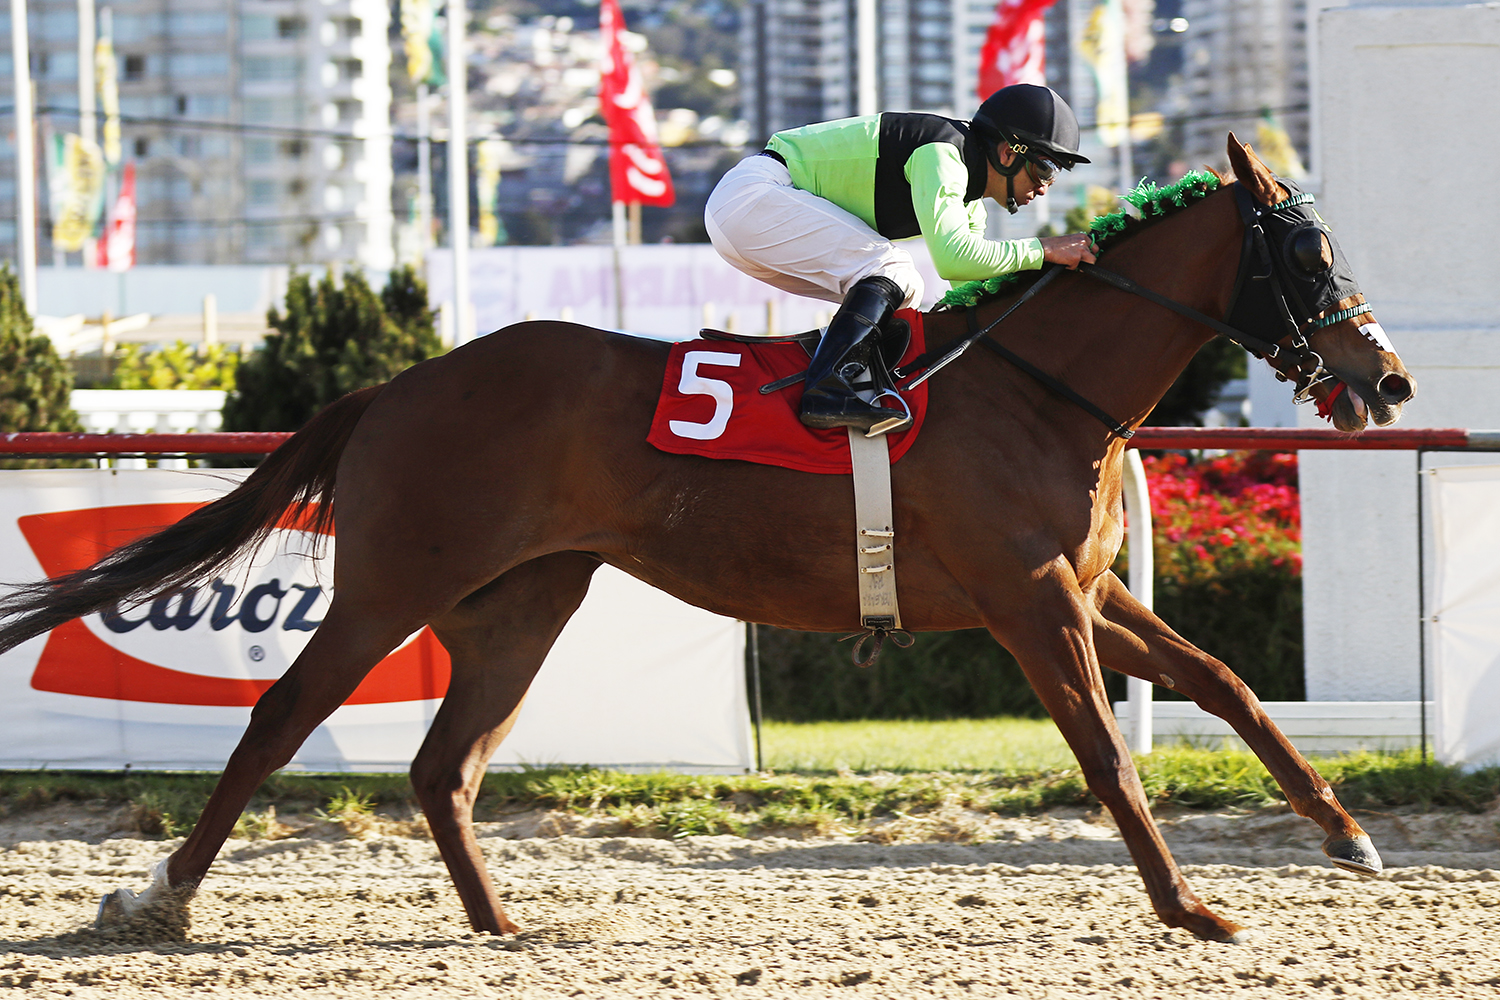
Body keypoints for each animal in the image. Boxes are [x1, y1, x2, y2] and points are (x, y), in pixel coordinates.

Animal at [0, 136, 1415, 944]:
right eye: (1305, 251)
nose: (1388, 379)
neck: (1038, 387)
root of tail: (400, 384)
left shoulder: (1086, 589)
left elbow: (1225, 682)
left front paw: (1347, 835)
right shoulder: (1029, 601)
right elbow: (1110, 761)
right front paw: (1193, 906)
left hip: (527, 600)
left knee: (444, 766)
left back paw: (505, 923)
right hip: (393, 584)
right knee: (280, 719)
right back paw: (159, 899)